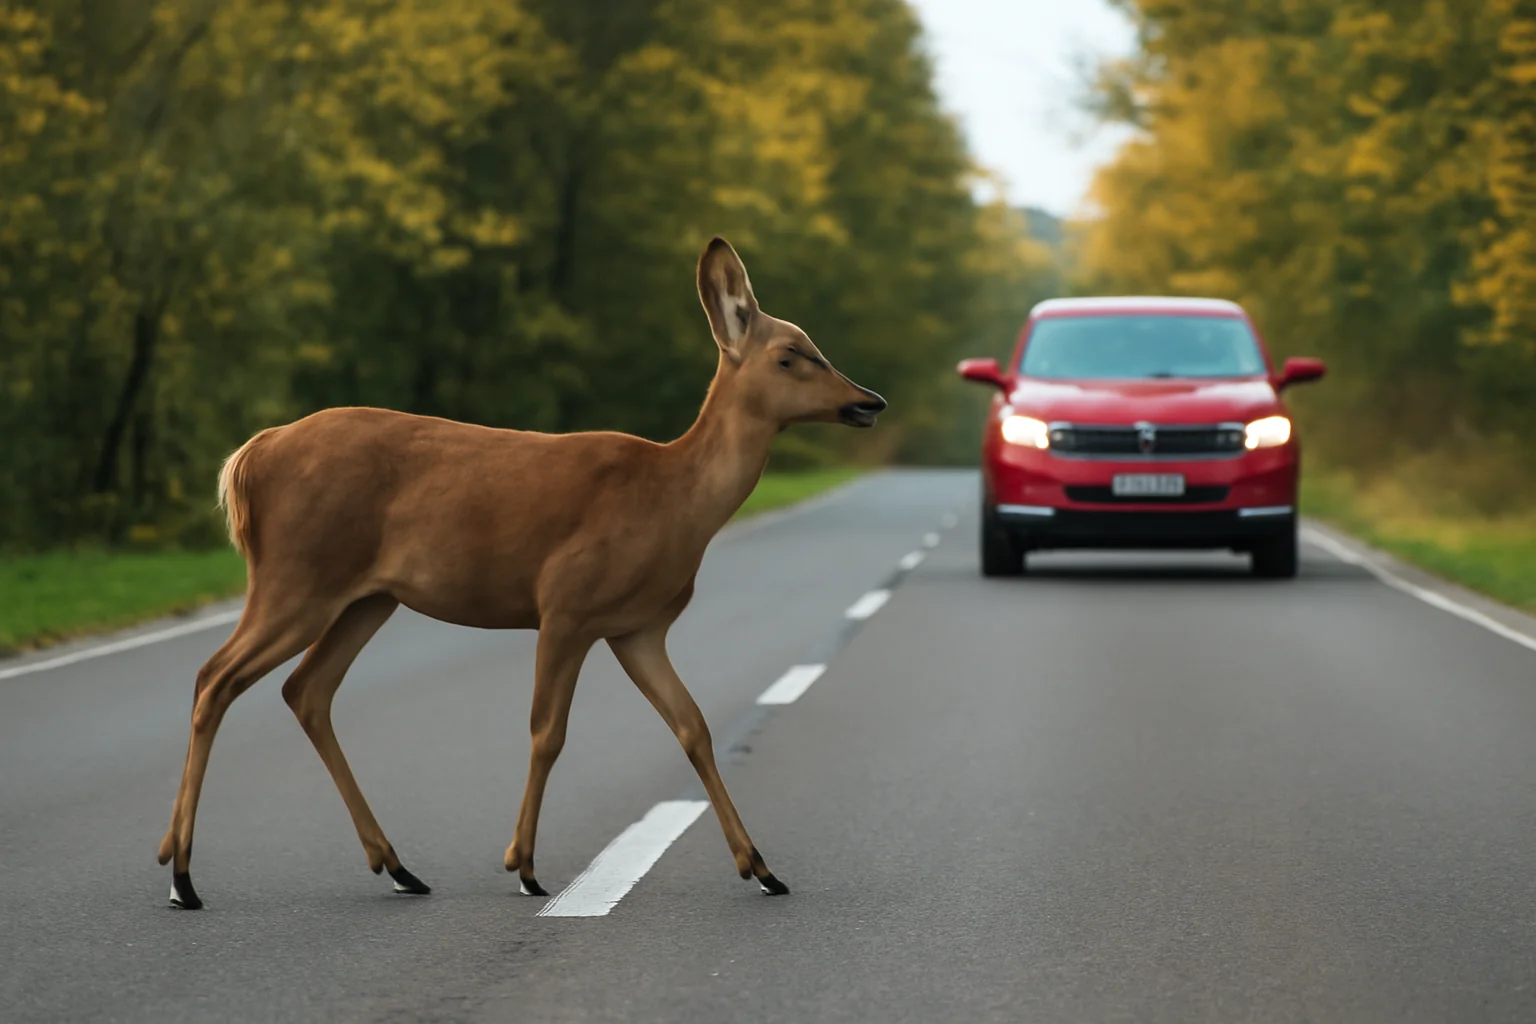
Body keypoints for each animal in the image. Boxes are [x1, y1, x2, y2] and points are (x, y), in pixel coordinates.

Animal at [157, 237, 886, 909]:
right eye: (790, 354)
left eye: (813, 346)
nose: (870, 400)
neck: (673, 498)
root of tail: (250, 457)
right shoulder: (565, 603)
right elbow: (547, 732)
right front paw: (525, 866)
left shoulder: (637, 628)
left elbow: (695, 728)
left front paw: (761, 867)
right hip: (295, 575)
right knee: (215, 677)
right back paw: (182, 875)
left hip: (366, 598)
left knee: (304, 690)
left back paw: (395, 866)